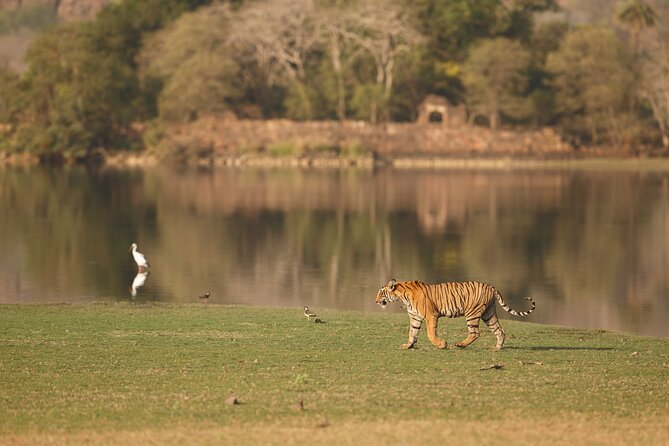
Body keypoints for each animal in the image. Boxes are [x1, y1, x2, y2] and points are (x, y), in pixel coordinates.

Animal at [375, 279, 535, 351]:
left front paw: (442, 345)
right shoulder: (415, 317)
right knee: (499, 330)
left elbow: (430, 333)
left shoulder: (431, 315)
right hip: (489, 314)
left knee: (475, 333)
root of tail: (491, 286)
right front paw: (408, 345)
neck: (403, 296)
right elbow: (412, 332)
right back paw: (497, 348)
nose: (376, 301)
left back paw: (459, 344)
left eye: (381, 292)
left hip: (472, 313)